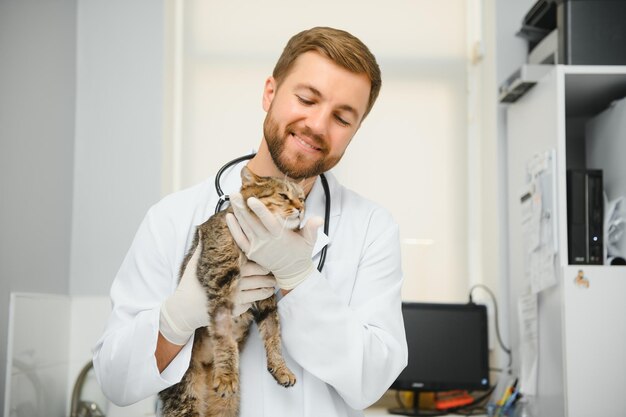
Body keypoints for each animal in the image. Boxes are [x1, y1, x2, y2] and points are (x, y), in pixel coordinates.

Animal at [160, 166, 304, 416]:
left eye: (302, 198)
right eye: (283, 196)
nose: (301, 208)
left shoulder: (265, 294)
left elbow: (273, 332)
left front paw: (280, 368)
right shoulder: (220, 282)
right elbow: (224, 334)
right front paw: (227, 375)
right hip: (186, 399)